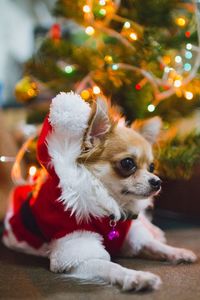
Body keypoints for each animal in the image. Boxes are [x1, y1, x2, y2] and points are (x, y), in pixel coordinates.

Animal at [2, 92, 197, 292]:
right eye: (128, 163)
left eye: (152, 167)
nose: (157, 181)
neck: (111, 207)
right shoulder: (75, 252)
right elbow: (110, 266)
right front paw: (137, 277)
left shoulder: (130, 238)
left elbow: (153, 244)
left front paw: (177, 251)